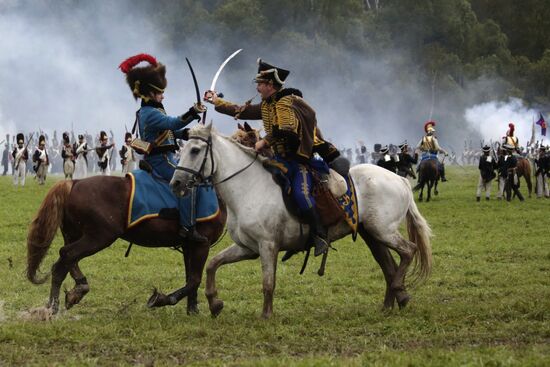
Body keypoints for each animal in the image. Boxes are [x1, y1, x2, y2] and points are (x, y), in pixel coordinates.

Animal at [27, 177, 226, 314]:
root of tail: (75, 182)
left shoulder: (189, 245)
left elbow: (190, 278)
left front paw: (193, 310)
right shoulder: (202, 245)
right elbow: (194, 279)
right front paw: (161, 299)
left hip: (75, 234)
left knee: (64, 262)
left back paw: (69, 296)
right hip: (99, 237)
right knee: (66, 256)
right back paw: (58, 305)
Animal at [170, 125, 434, 320]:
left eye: (195, 150)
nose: (176, 183)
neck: (249, 186)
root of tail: (400, 180)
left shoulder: (267, 245)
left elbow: (268, 282)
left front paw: (266, 315)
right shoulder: (247, 248)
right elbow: (212, 264)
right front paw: (214, 303)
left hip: (383, 231)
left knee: (408, 251)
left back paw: (401, 292)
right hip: (372, 234)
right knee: (388, 265)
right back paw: (390, 304)